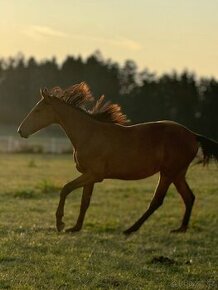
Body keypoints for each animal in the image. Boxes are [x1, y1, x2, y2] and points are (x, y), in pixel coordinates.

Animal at [17, 82, 218, 234]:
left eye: (37, 110)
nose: (20, 131)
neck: (89, 134)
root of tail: (193, 134)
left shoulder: (95, 175)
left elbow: (65, 189)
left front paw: (60, 224)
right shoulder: (90, 175)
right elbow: (84, 202)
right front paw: (75, 227)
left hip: (168, 173)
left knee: (157, 201)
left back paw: (130, 229)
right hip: (178, 173)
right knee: (189, 197)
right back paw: (180, 228)